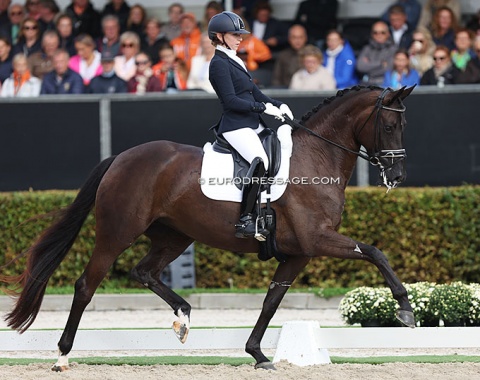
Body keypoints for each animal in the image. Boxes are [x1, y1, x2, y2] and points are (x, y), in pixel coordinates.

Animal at [0, 85, 416, 372]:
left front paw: (257, 353)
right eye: (389, 125)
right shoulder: (318, 240)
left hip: (174, 236)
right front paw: (405, 309)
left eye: (403, 125)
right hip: (117, 234)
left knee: (144, 272)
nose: (397, 176)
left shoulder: (299, 253)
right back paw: (62, 356)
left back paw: (183, 318)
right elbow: (375, 252)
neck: (314, 159)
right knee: (87, 284)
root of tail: (120, 157)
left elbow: (271, 300)